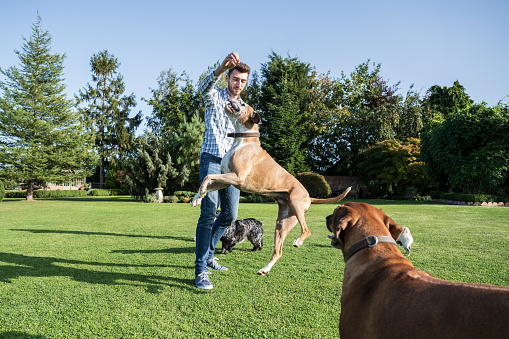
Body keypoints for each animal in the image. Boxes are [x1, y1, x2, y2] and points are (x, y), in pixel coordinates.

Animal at [190, 99, 350, 274]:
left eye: (243, 103)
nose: (232, 99)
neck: (243, 140)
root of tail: (309, 196)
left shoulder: (237, 178)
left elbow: (207, 177)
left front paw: (200, 194)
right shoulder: (226, 180)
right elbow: (208, 181)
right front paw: (197, 198)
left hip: (296, 206)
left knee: (306, 230)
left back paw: (298, 241)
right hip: (282, 224)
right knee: (278, 251)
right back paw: (265, 269)